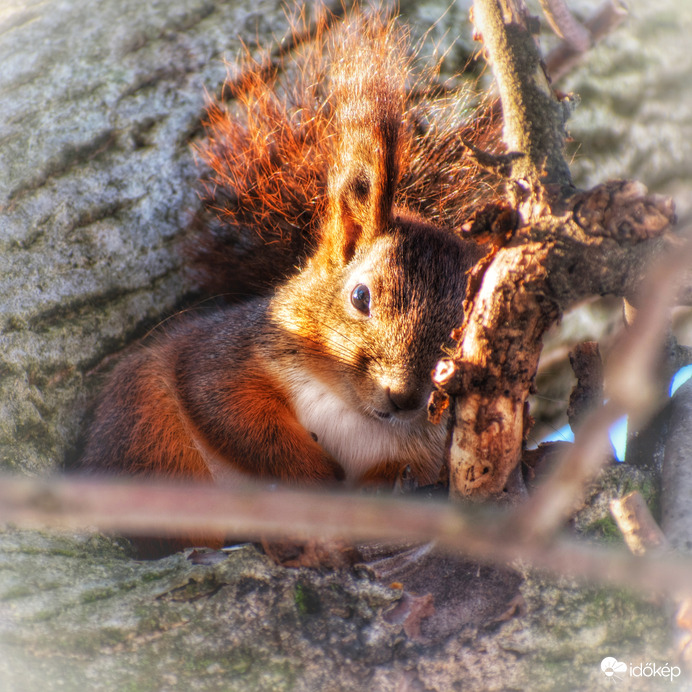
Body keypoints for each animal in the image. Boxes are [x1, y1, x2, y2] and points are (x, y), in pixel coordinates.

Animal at [78, 12, 494, 498]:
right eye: (360, 297)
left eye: (464, 328)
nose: (403, 397)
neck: (350, 409)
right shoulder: (224, 355)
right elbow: (236, 415)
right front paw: (315, 476)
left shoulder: (428, 451)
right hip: (147, 422)